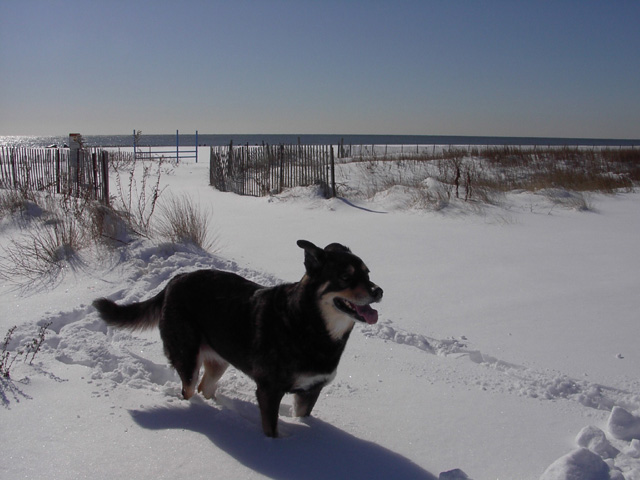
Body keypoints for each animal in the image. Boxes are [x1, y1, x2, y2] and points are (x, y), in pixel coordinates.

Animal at [93, 242, 382, 436]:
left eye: (368, 274)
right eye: (345, 277)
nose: (379, 291)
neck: (308, 323)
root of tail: (175, 279)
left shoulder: (311, 390)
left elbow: (302, 415)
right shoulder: (269, 390)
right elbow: (271, 431)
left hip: (220, 358)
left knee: (205, 387)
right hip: (187, 357)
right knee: (189, 389)